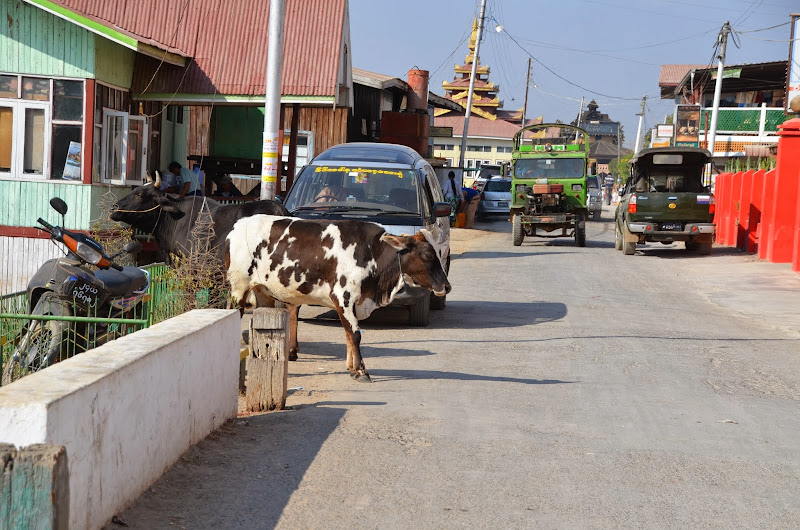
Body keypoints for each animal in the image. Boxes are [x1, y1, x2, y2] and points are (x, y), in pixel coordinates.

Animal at [225, 213, 454, 380]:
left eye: (437, 252)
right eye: (427, 255)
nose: (447, 286)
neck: (372, 252)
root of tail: (239, 225)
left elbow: (348, 334)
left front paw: (352, 368)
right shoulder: (343, 297)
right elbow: (355, 334)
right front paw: (361, 371)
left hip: (262, 292)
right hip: (238, 289)